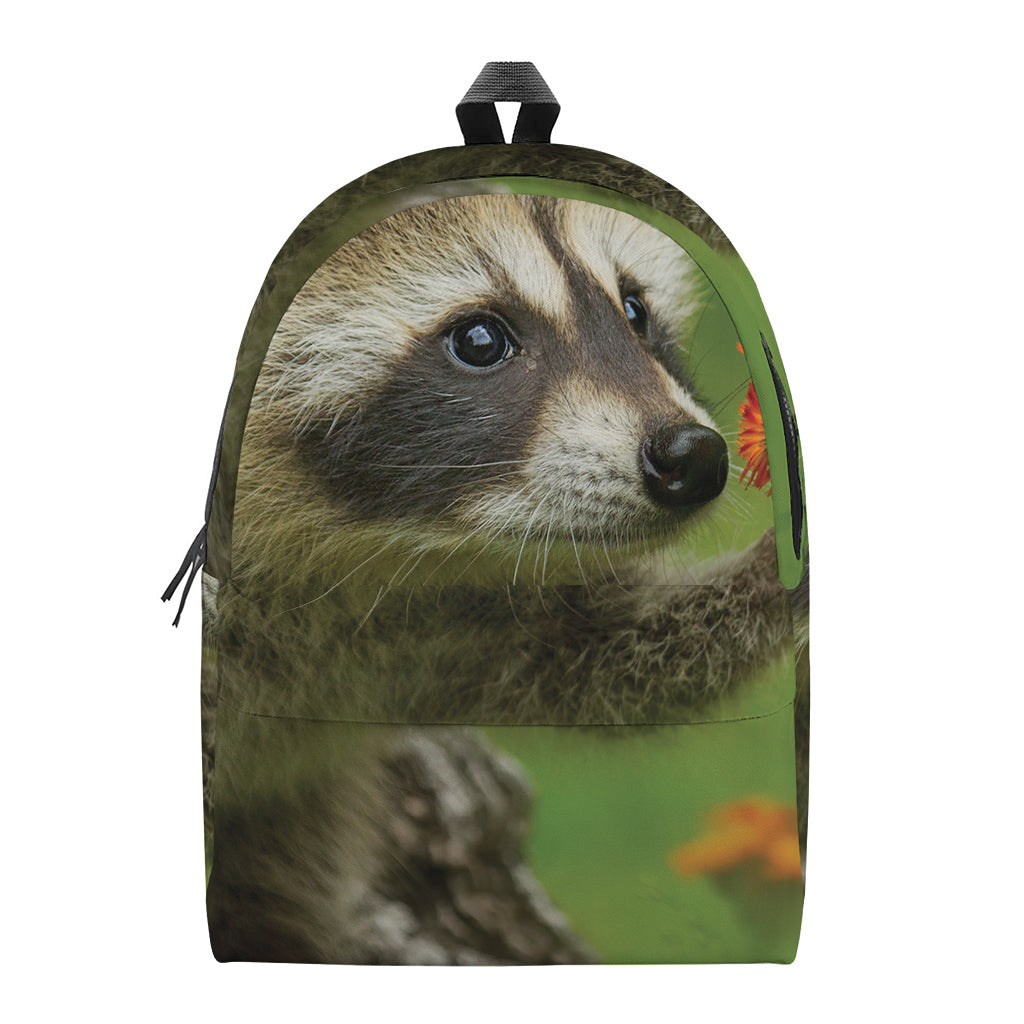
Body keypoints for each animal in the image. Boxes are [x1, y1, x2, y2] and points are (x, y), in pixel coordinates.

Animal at [205, 193, 808, 963]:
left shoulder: (436, 623)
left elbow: (602, 661)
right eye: (480, 340)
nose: (694, 456)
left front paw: (776, 577)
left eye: (635, 310)